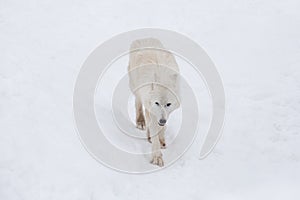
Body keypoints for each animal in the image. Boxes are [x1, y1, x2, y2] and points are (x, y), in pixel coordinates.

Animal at [127, 38, 179, 166]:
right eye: (157, 103)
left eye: (168, 104)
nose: (162, 120)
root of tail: (144, 38)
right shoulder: (152, 109)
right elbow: (155, 131)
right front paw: (157, 157)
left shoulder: (166, 114)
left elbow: (162, 128)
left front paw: (161, 139)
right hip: (136, 87)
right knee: (138, 103)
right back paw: (141, 122)